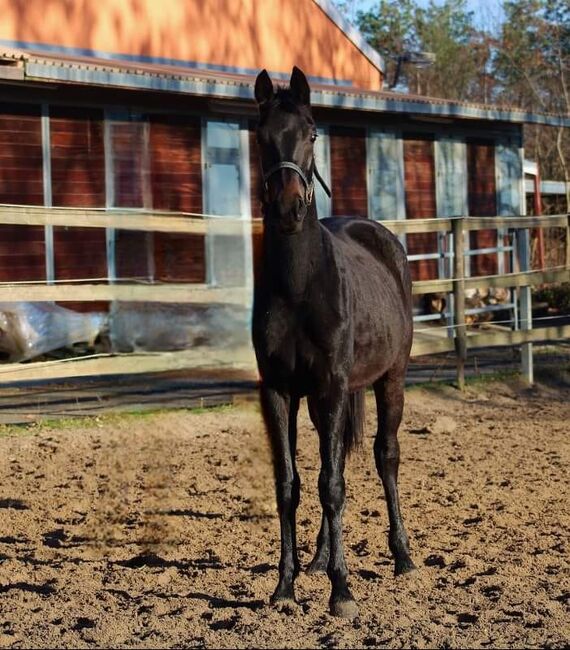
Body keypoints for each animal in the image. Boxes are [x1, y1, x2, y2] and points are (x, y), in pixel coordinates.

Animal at [251, 67, 414, 616]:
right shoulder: (279, 391)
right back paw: (320, 559)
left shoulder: (333, 384)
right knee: (337, 456)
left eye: (313, 134)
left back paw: (403, 556)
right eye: (260, 136)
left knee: (385, 456)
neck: (300, 285)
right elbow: (290, 485)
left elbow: (333, 485)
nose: (288, 209)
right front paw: (285, 587)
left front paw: (342, 592)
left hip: (390, 379)